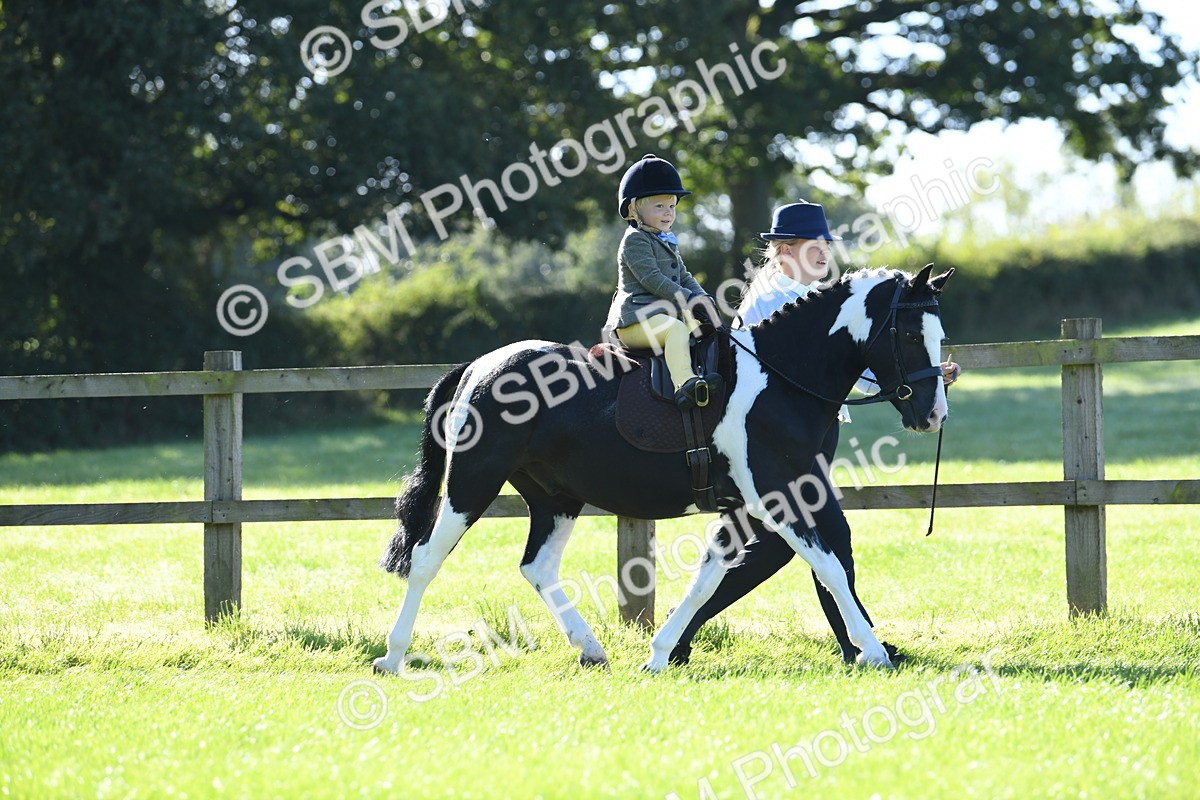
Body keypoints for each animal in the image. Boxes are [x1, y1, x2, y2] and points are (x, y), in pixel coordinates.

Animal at [372, 264, 953, 675]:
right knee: (425, 559)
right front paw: (873, 651)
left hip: (555, 498)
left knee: (537, 567)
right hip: (473, 483)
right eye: (908, 334)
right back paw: (392, 657)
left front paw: (659, 654)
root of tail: (480, 366)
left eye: (939, 334)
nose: (933, 415)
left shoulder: (748, 506)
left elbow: (711, 576)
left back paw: (591, 651)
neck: (778, 379)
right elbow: (829, 566)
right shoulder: (778, 495)